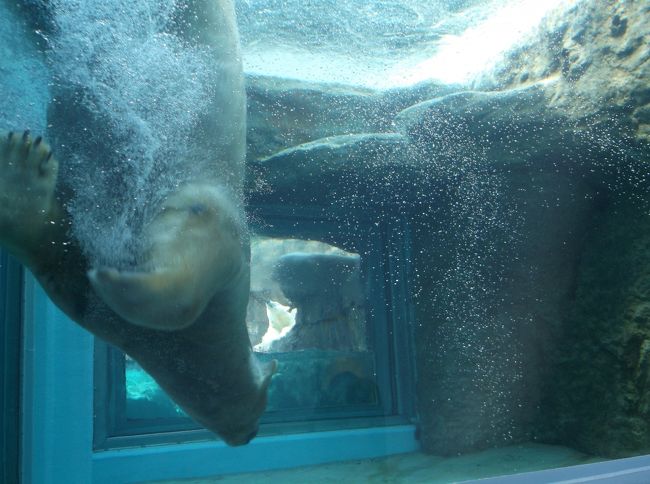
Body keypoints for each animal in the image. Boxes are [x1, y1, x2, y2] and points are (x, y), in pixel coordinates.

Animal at [0, 0, 274, 446]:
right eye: (259, 415)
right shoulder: (221, 233)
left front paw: (18, 176)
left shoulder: (90, 306)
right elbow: (187, 276)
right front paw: (122, 282)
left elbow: (55, 246)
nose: (247, 436)